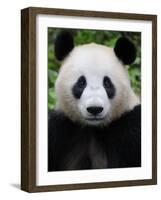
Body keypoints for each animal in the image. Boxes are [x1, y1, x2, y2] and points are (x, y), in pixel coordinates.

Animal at [48, 30, 141, 171]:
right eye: (81, 82)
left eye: (107, 83)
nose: (95, 109)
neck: (94, 128)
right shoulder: (59, 129)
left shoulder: (131, 128)